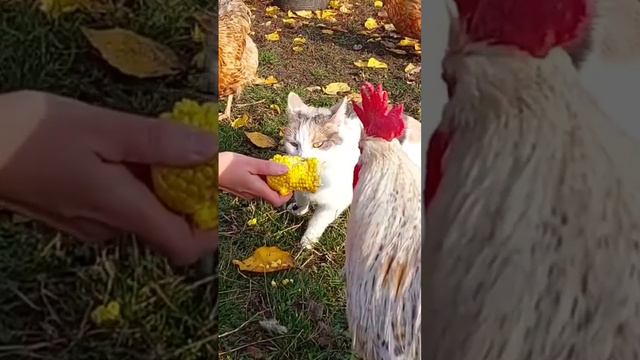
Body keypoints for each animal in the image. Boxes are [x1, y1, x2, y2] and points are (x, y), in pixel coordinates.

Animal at [282, 91, 422, 249]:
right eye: (294, 144)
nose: (303, 159)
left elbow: (318, 221)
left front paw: (308, 240)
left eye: (318, 144)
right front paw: (299, 209)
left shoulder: (337, 201)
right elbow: (301, 197)